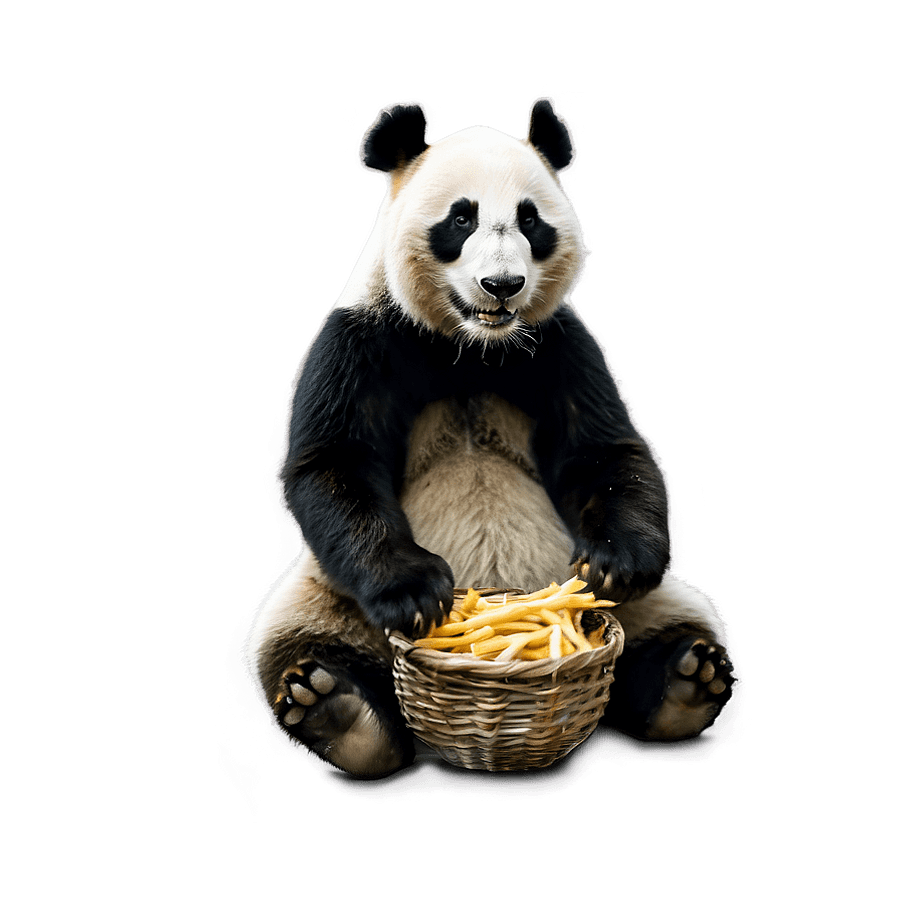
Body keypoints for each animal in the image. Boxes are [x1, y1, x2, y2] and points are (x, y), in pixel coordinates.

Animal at [243, 98, 736, 776]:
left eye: (531, 221)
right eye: (460, 218)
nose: (502, 286)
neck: (473, 346)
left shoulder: (557, 344)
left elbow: (603, 451)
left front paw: (617, 561)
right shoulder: (362, 338)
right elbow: (333, 464)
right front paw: (418, 594)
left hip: (649, 609)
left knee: (672, 625)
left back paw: (686, 681)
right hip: (325, 597)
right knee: (297, 638)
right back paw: (338, 711)